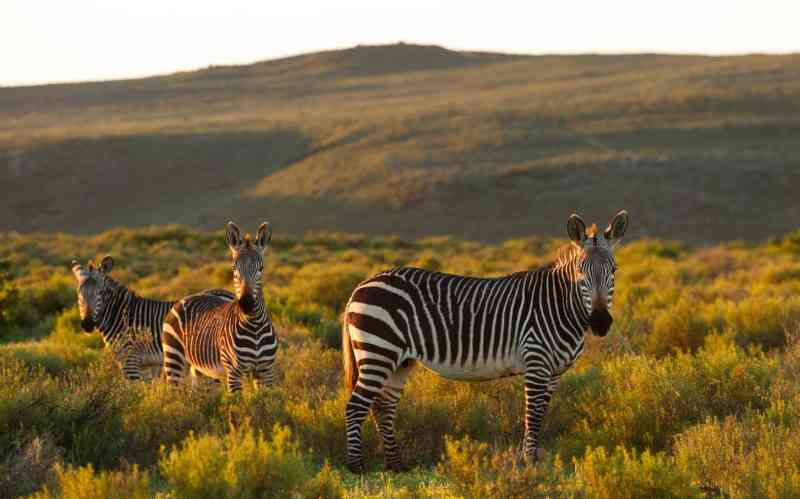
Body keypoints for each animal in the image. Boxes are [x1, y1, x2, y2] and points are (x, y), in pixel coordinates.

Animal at [72, 256, 234, 381]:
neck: (120, 315)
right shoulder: (145, 366)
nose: (87, 324)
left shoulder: (130, 360)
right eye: (79, 294)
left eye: (100, 293)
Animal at [162, 222, 278, 392]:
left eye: (261, 268)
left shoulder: (266, 371)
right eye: (234, 268)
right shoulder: (234, 371)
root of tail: (186, 297)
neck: (254, 325)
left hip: (199, 368)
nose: (247, 303)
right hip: (173, 356)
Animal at [341, 210, 629, 472]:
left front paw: (531, 459)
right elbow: (533, 415)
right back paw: (356, 467)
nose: (600, 322)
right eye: (581, 272)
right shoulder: (536, 362)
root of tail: (362, 284)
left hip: (400, 360)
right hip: (379, 351)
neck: (559, 306)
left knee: (383, 407)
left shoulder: (555, 371)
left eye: (614, 271)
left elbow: (541, 413)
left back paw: (396, 464)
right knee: (356, 406)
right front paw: (529, 463)